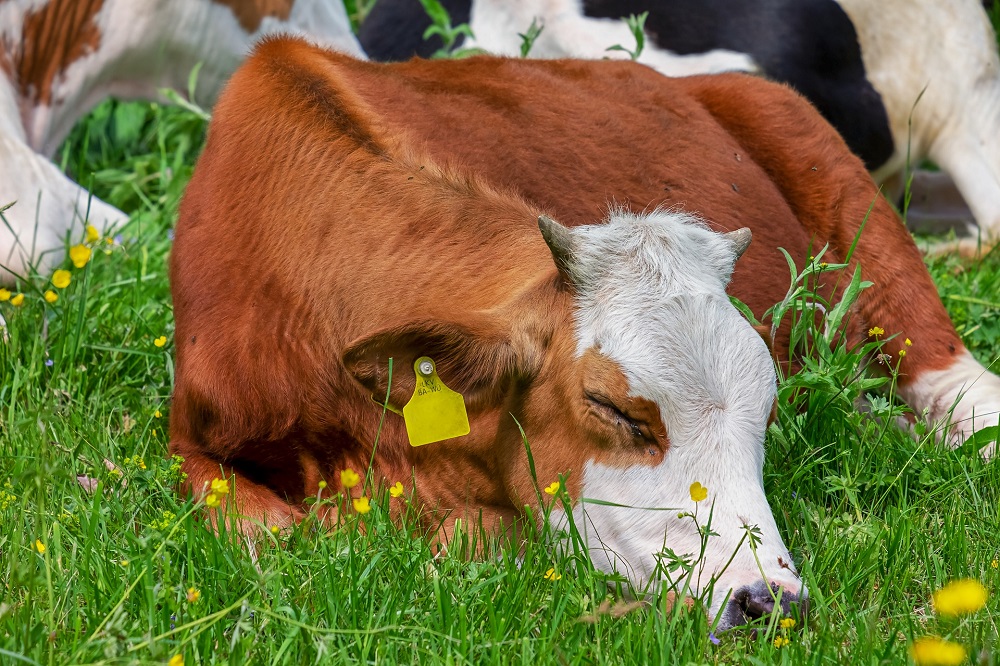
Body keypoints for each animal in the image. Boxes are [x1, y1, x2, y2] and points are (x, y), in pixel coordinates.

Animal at [168, 39, 1000, 632]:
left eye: (766, 412)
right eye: (615, 410)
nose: (767, 601)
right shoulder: (187, 438)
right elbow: (264, 533)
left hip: (865, 218)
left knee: (964, 394)